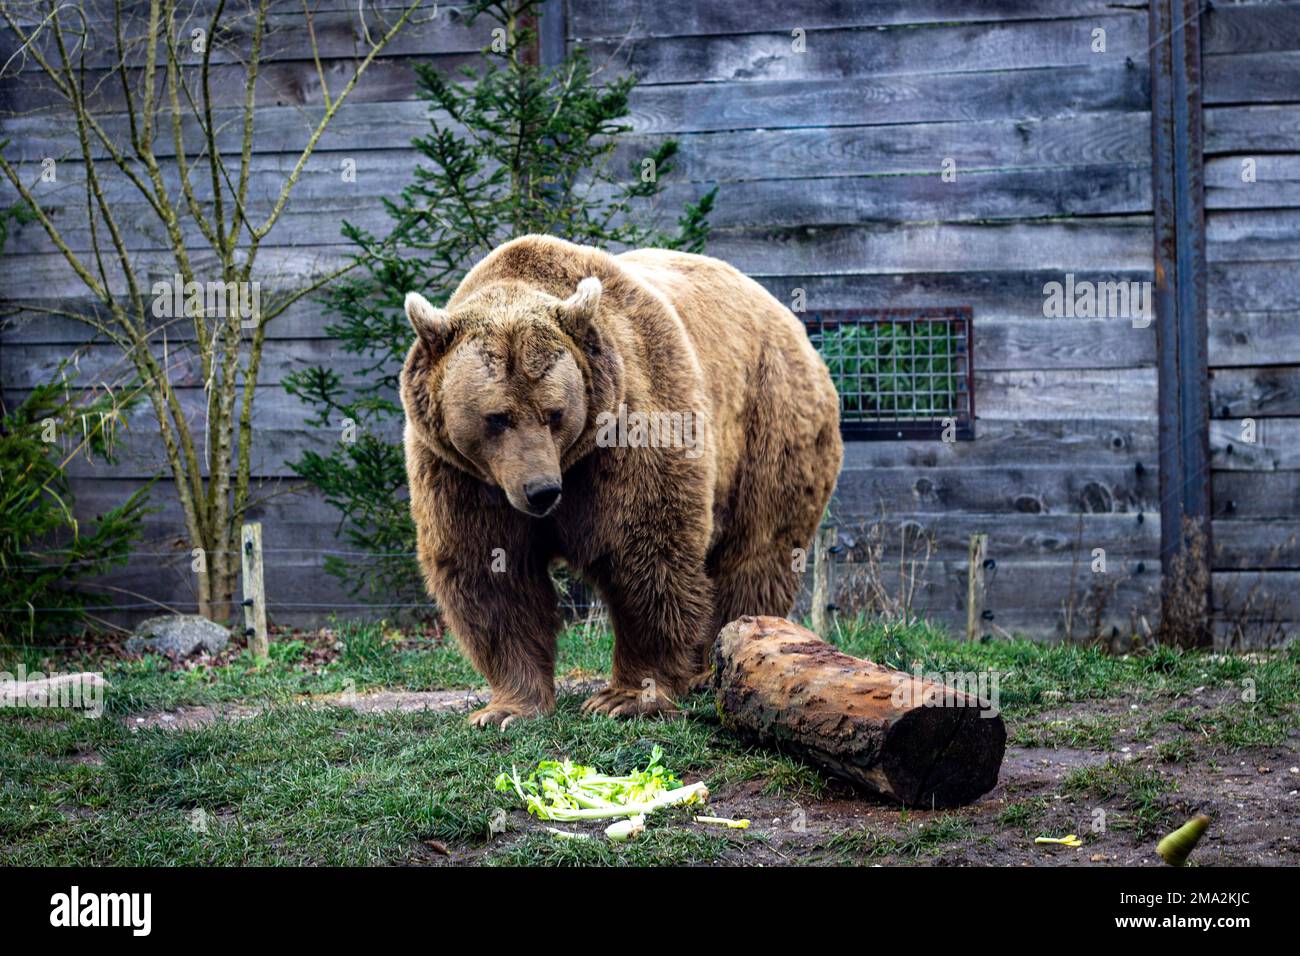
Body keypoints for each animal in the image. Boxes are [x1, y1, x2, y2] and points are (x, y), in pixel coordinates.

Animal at [397, 235, 842, 728]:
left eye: (554, 413)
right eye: (497, 417)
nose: (541, 491)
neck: (572, 461)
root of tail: (790, 321)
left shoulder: (628, 428)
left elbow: (645, 555)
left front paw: (624, 697)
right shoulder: (461, 473)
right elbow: (492, 572)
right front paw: (507, 707)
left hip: (768, 423)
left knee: (754, 553)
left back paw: (724, 658)